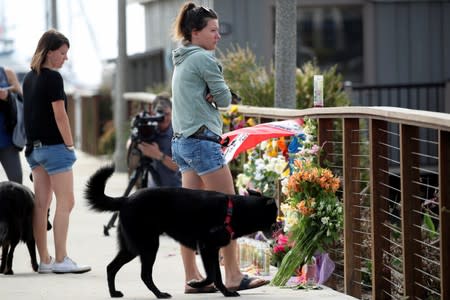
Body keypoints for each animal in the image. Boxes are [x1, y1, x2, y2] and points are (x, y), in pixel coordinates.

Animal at [82, 165, 276, 298]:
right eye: (274, 216)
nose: (277, 231)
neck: (233, 210)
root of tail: (126, 199)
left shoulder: (211, 250)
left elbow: (215, 274)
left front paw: (217, 289)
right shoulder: (206, 247)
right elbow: (212, 275)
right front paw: (203, 285)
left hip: (131, 247)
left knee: (111, 267)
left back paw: (114, 293)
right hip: (148, 246)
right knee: (145, 274)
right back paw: (160, 294)